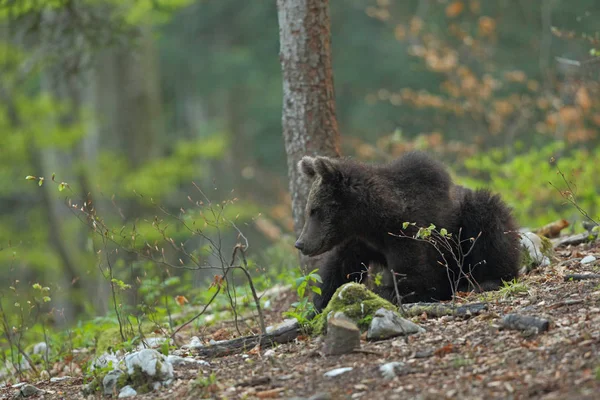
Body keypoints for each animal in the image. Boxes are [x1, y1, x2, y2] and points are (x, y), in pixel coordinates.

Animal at [296, 152, 520, 310]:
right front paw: (320, 304)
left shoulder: (408, 234)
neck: (372, 221)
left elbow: (417, 280)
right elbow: (337, 269)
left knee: (489, 221)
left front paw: (380, 293)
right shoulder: (359, 241)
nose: (300, 243)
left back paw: (487, 280)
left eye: (315, 210)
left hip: (470, 218)